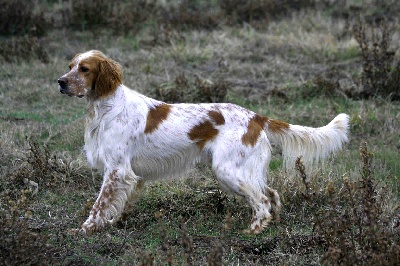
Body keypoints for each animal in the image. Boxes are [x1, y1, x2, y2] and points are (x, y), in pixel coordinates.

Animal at [57, 50, 348, 235]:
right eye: (70, 66)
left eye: (84, 69)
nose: (60, 82)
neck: (106, 106)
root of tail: (255, 116)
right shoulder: (131, 176)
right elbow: (118, 205)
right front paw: (113, 224)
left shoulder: (117, 170)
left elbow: (99, 206)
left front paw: (84, 230)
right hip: (246, 170)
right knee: (272, 194)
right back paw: (270, 226)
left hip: (227, 171)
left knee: (262, 201)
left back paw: (253, 232)